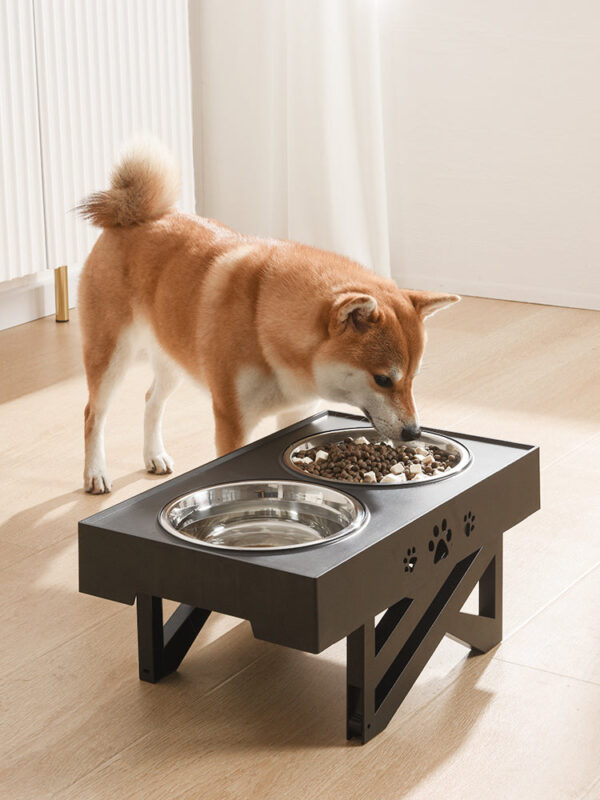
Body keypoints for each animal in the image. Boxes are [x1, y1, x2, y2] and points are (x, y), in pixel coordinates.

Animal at [76, 144, 460, 494]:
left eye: (412, 378)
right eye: (383, 380)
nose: (414, 432)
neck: (264, 321)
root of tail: (134, 217)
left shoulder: (298, 413)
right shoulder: (232, 421)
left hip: (173, 356)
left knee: (151, 400)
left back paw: (153, 455)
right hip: (112, 355)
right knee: (93, 414)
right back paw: (96, 473)